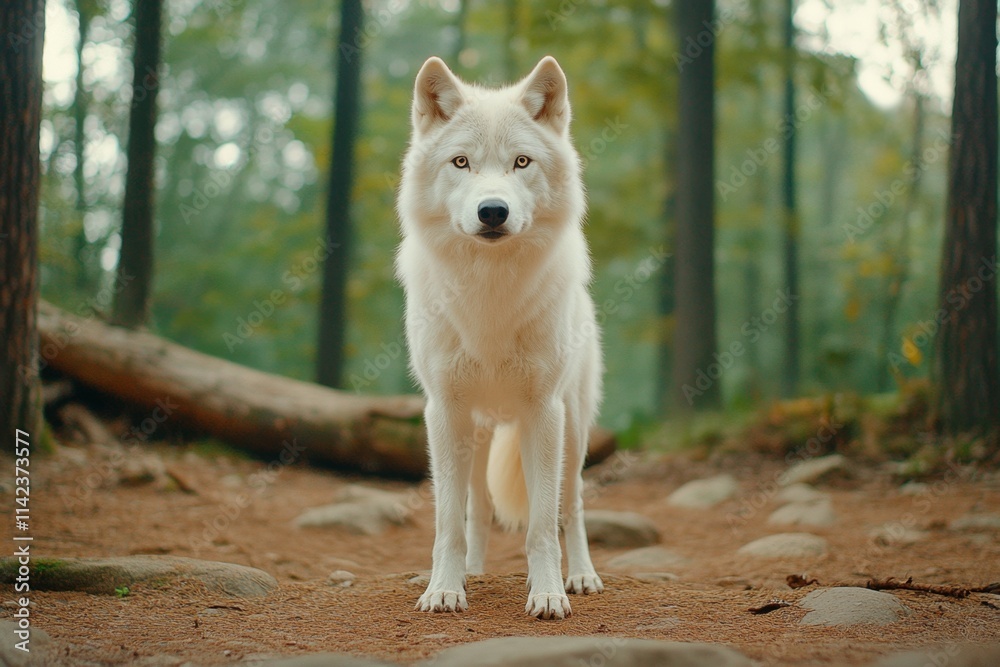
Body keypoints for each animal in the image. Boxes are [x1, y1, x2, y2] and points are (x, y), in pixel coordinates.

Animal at [395, 55, 603, 620]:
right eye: (461, 162)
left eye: (522, 163)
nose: (493, 211)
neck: (488, 293)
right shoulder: (444, 413)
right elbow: (449, 522)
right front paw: (444, 589)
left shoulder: (543, 412)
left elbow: (542, 526)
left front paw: (548, 593)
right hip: (477, 432)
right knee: (479, 507)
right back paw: (473, 571)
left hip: (573, 430)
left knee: (573, 506)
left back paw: (582, 576)